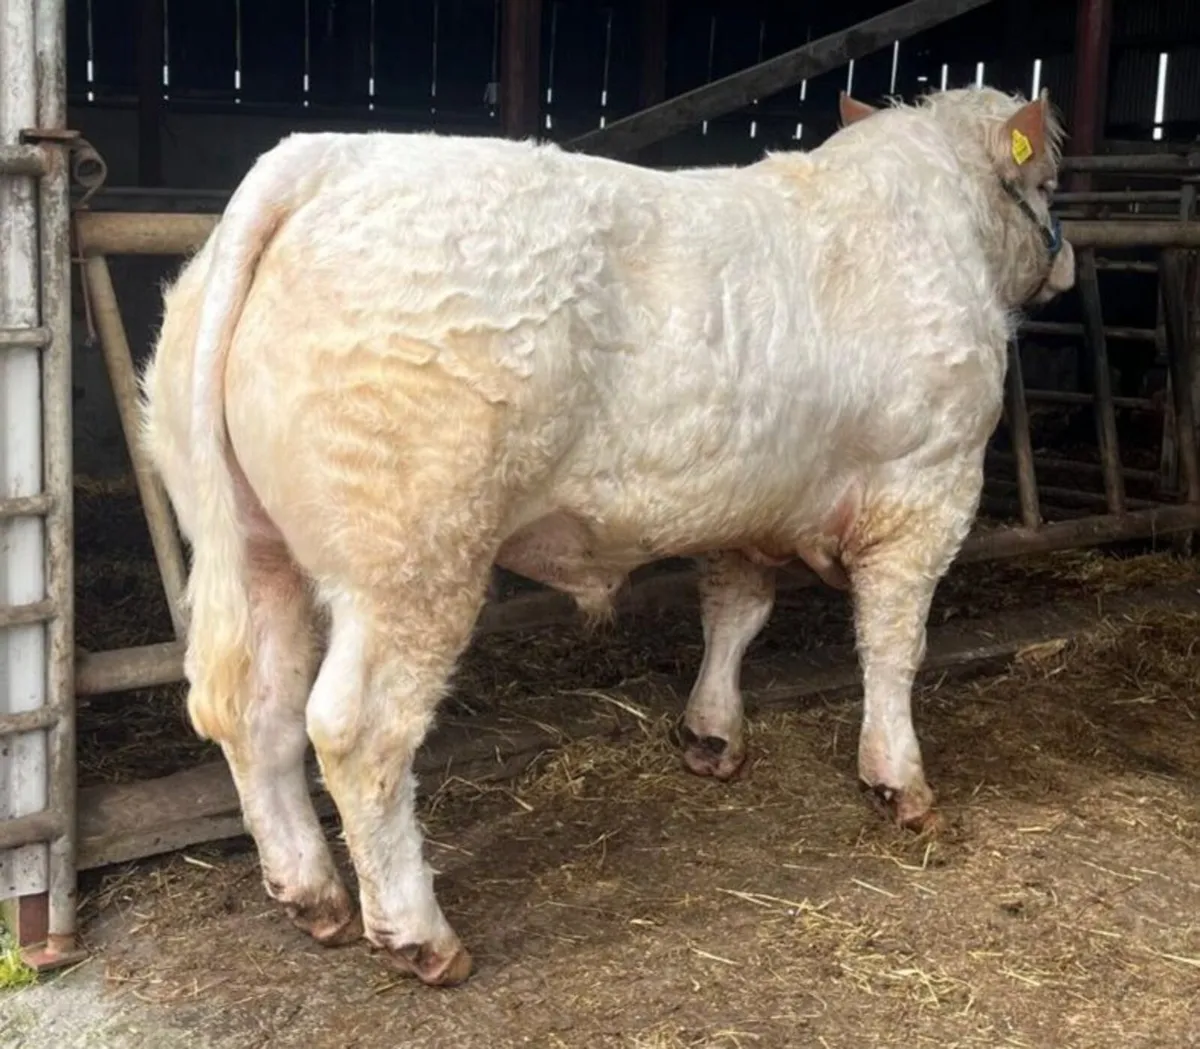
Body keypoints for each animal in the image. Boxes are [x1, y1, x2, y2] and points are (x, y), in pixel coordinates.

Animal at [139, 85, 1074, 987]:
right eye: (1049, 179)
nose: (1066, 261)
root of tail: (324, 157)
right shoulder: (928, 486)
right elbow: (892, 645)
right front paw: (900, 779)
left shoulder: (746, 504)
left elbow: (734, 614)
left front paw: (711, 735)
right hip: (413, 557)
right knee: (357, 730)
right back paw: (417, 934)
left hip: (256, 545)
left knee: (256, 708)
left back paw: (311, 893)